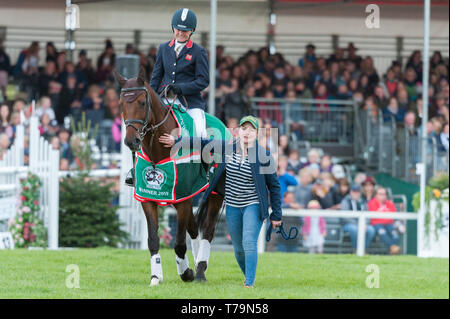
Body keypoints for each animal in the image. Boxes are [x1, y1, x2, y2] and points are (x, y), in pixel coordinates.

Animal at [113, 68, 224, 288]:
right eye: (121, 103)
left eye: (142, 102)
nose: (131, 141)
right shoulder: (147, 198)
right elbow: (153, 240)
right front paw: (156, 277)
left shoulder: (183, 199)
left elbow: (179, 243)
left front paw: (186, 273)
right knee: (194, 229)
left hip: (215, 194)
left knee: (207, 231)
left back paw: (200, 270)